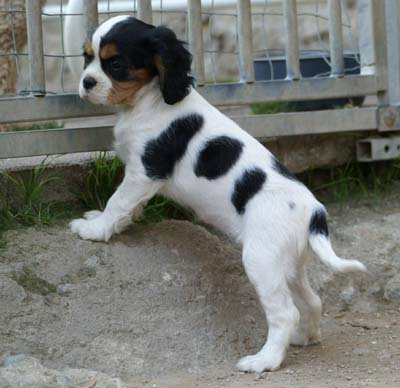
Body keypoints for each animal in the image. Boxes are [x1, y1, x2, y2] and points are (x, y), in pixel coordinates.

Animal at [69, 15, 366, 372]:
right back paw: (305, 338)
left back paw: (264, 360)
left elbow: (118, 201)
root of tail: (315, 213)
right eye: (87, 57)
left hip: (261, 259)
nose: (86, 82)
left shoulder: (145, 171)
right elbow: (126, 207)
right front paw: (112, 222)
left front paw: (94, 229)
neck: (149, 100)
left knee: (285, 312)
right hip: (288, 263)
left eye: (115, 63)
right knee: (311, 301)